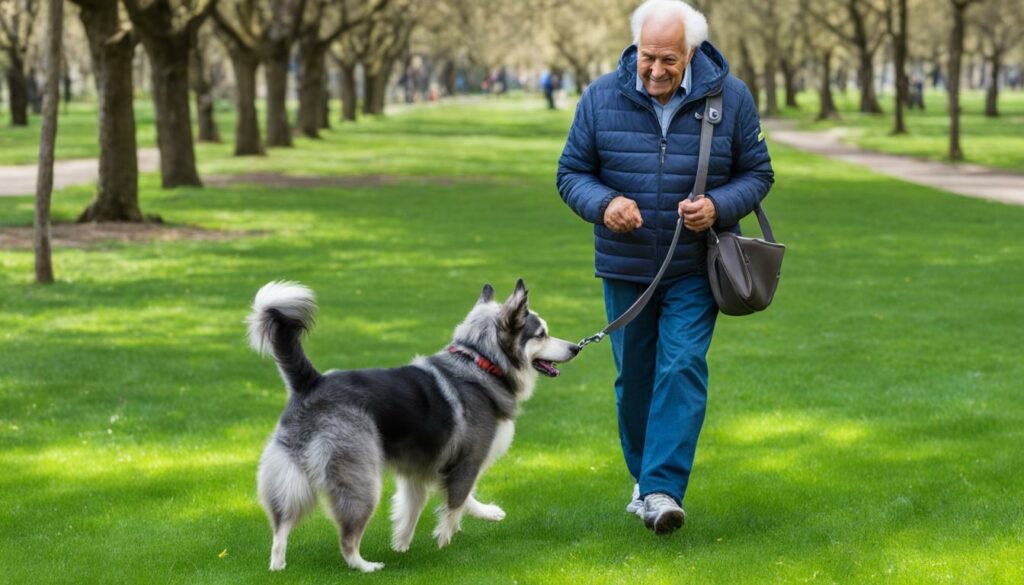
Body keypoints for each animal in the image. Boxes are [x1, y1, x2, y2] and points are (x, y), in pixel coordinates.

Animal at [245, 278, 577, 573]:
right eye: (542, 334)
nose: (575, 348)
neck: (481, 361)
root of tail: (310, 381)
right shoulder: (469, 459)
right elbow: (457, 499)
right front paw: (444, 539)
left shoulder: (417, 469)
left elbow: (415, 508)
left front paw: (403, 544)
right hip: (361, 478)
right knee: (347, 538)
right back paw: (365, 566)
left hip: (290, 477)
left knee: (281, 526)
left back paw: (278, 565)